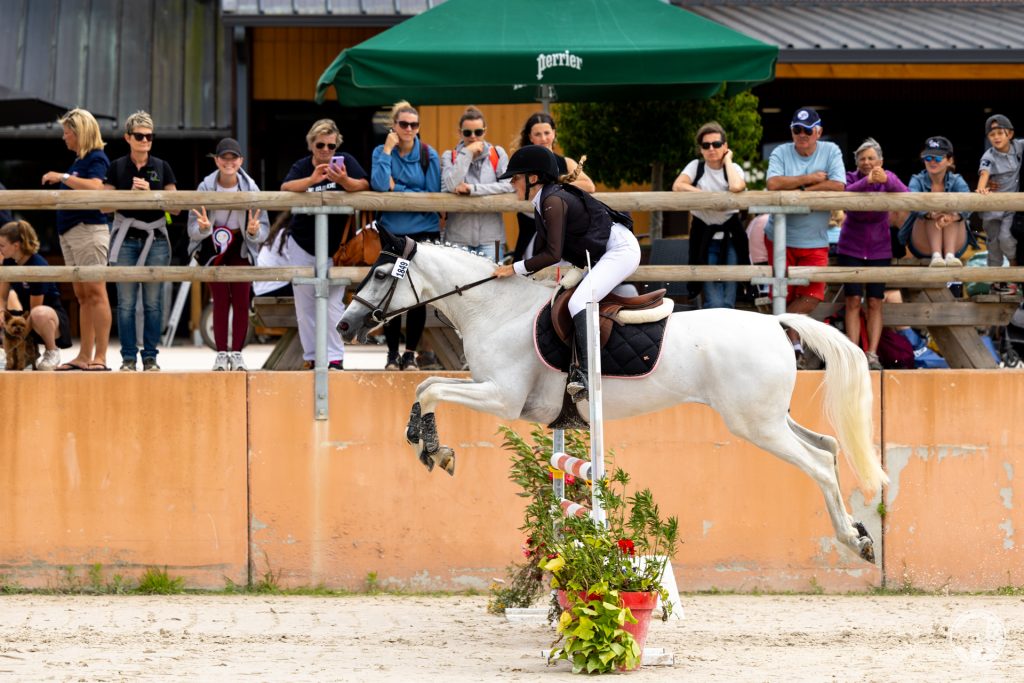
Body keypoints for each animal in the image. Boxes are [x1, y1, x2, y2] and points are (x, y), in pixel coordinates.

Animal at [342, 232, 888, 565]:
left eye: (379, 274)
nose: (346, 326)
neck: (495, 308)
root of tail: (776, 323)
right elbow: (424, 388)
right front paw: (424, 442)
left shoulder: (502, 398)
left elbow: (433, 387)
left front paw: (436, 450)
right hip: (770, 418)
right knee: (828, 448)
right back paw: (862, 534)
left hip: (756, 425)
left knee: (818, 466)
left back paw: (852, 540)